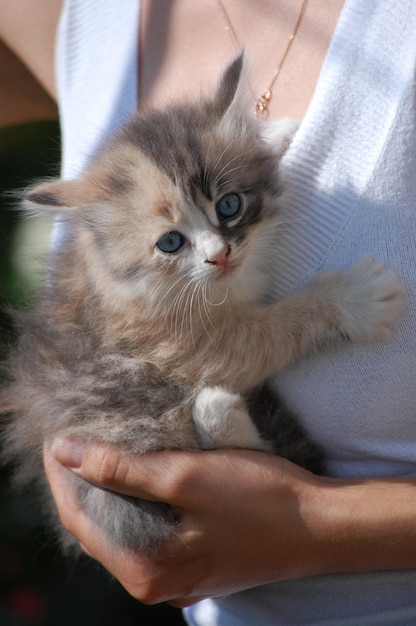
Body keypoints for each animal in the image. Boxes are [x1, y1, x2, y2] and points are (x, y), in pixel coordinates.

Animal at [0, 57, 404, 552]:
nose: (220, 255)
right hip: (132, 421)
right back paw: (220, 415)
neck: (119, 284)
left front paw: (270, 134)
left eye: (229, 205)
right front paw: (354, 298)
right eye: (171, 242)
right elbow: (274, 327)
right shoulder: (185, 350)